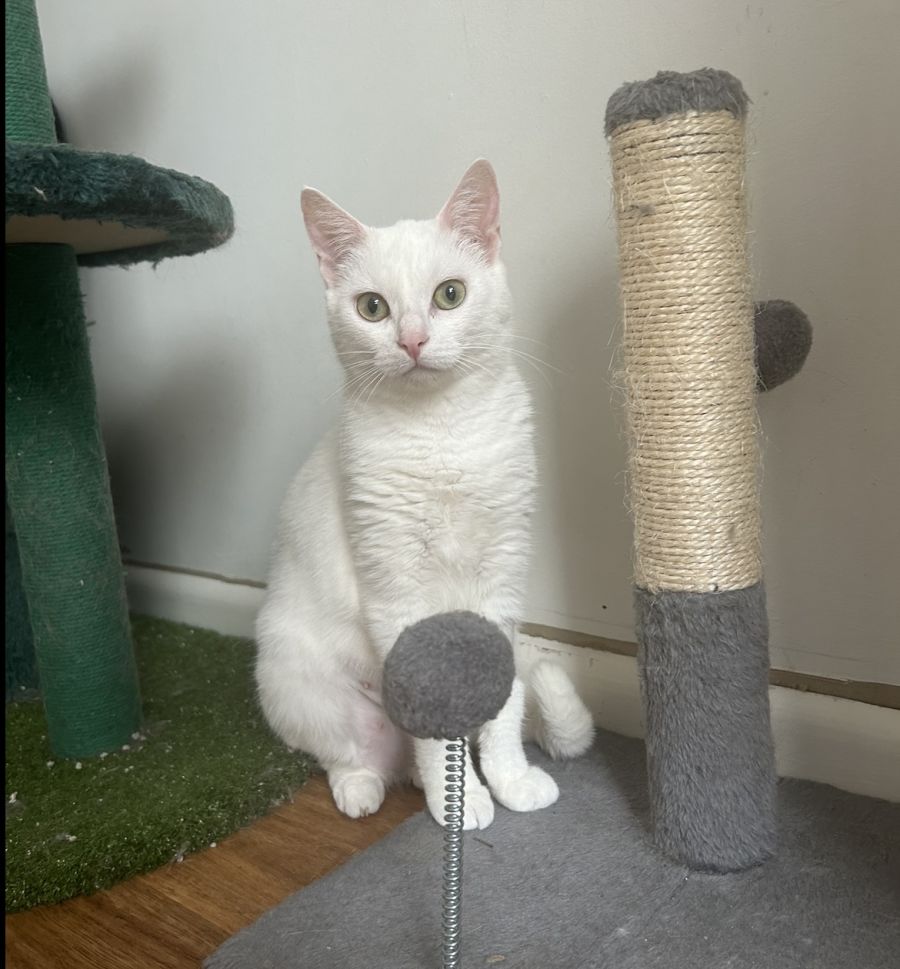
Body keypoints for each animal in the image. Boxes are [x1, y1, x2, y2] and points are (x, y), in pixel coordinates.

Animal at [255, 160, 594, 830]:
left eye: (450, 294)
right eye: (372, 307)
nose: (411, 340)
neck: (444, 432)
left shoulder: (502, 582)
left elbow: (503, 706)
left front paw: (509, 781)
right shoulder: (397, 593)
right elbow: (435, 729)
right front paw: (460, 803)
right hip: (294, 682)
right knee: (349, 755)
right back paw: (364, 788)